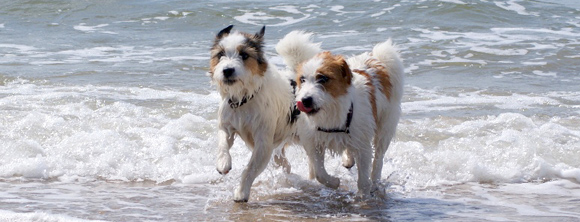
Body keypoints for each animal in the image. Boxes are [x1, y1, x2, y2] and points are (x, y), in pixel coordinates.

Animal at [208, 25, 304, 202]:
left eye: (244, 55)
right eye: (220, 54)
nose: (227, 70)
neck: (243, 99)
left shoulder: (263, 143)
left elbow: (250, 169)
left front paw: (241, 192)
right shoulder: (226, 126)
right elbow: (222, 143)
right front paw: (223, 163)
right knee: (284, 163)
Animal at [276, 31, 404, 196]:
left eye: (323, 78)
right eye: (302, 79)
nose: (305, 100)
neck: (332, 110)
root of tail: (376, 60)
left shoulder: (363, 146)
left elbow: (363, 179)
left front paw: (363, 196)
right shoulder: (314, 142)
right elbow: (319, 173)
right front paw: (334, 182)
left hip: (385, 127)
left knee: (379, 156)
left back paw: (375, 181)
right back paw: (348, 161)